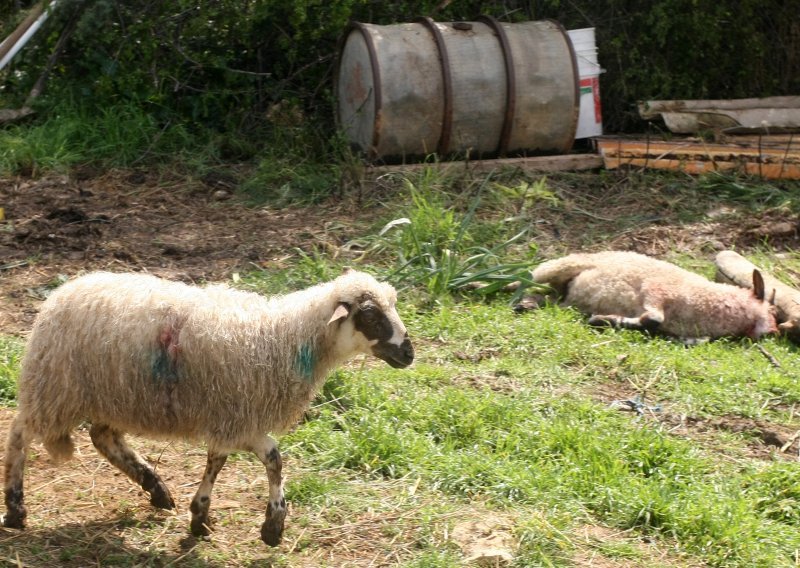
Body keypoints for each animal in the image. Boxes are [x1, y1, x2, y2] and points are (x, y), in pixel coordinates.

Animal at [6, 270, 416, 544]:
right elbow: (273, 459)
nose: (409, 353)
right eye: (371, 315)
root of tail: (63, 291)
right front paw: (272, 526)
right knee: (20, 433)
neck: (286, 338)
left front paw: (200, 514)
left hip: (113, 394)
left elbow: (218, 460)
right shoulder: (240, 416)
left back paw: (156, 488)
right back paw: (14, 508)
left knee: (102, 437)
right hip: (55, 387)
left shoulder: (231, 415)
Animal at [528, 250, 780, 340]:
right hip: (564, 265)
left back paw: (527, 303)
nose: (774, 332)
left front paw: (604, 320)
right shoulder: (656, 290)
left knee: (549, 299)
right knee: (531, 277)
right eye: (772, 310)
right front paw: (601, 320)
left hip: (561, 295)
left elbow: (651, 323)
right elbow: (653, 318)